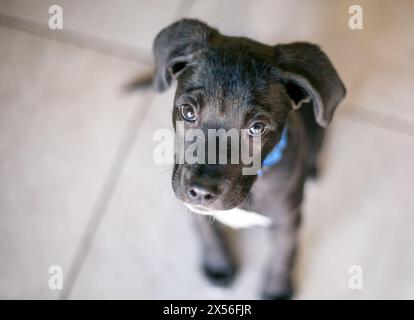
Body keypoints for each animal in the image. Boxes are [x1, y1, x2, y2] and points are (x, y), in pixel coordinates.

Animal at [152, 19, 346, 300]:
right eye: (188, 112)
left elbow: (283, 254)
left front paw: (277, 288)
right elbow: (207, 232)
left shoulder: (288, 220)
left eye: (257, 128)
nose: (201, 191)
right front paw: (218, 265)